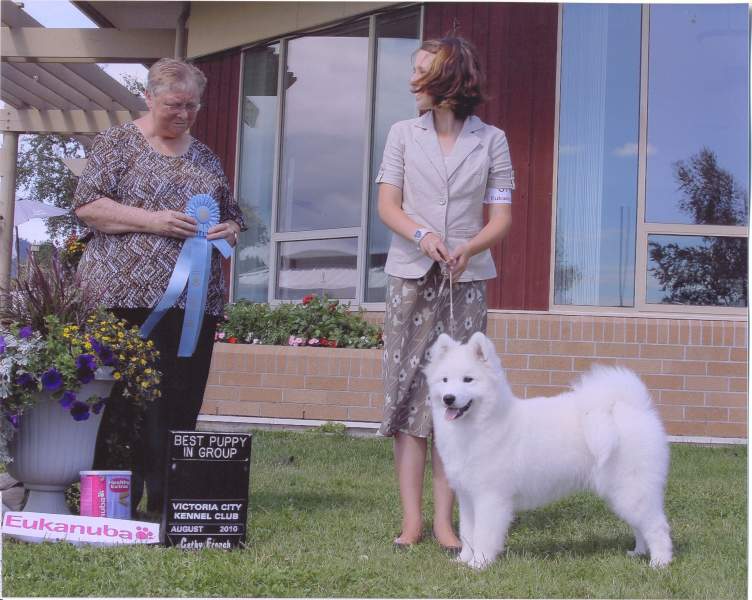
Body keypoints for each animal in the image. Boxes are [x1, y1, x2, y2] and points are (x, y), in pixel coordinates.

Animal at [424, 331, 673, 570]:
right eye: (445, 380)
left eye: (468, 380)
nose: (448, 398)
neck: (481, 425)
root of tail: (632, 407)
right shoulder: (467, 497)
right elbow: (468, 534)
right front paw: (463, 561)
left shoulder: (490, 497)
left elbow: (483, 536)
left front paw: (479, 564)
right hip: (622, 492)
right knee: (640, 525)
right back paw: (638, 552)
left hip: (632, 488)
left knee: (657, 526)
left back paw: (659, 563)